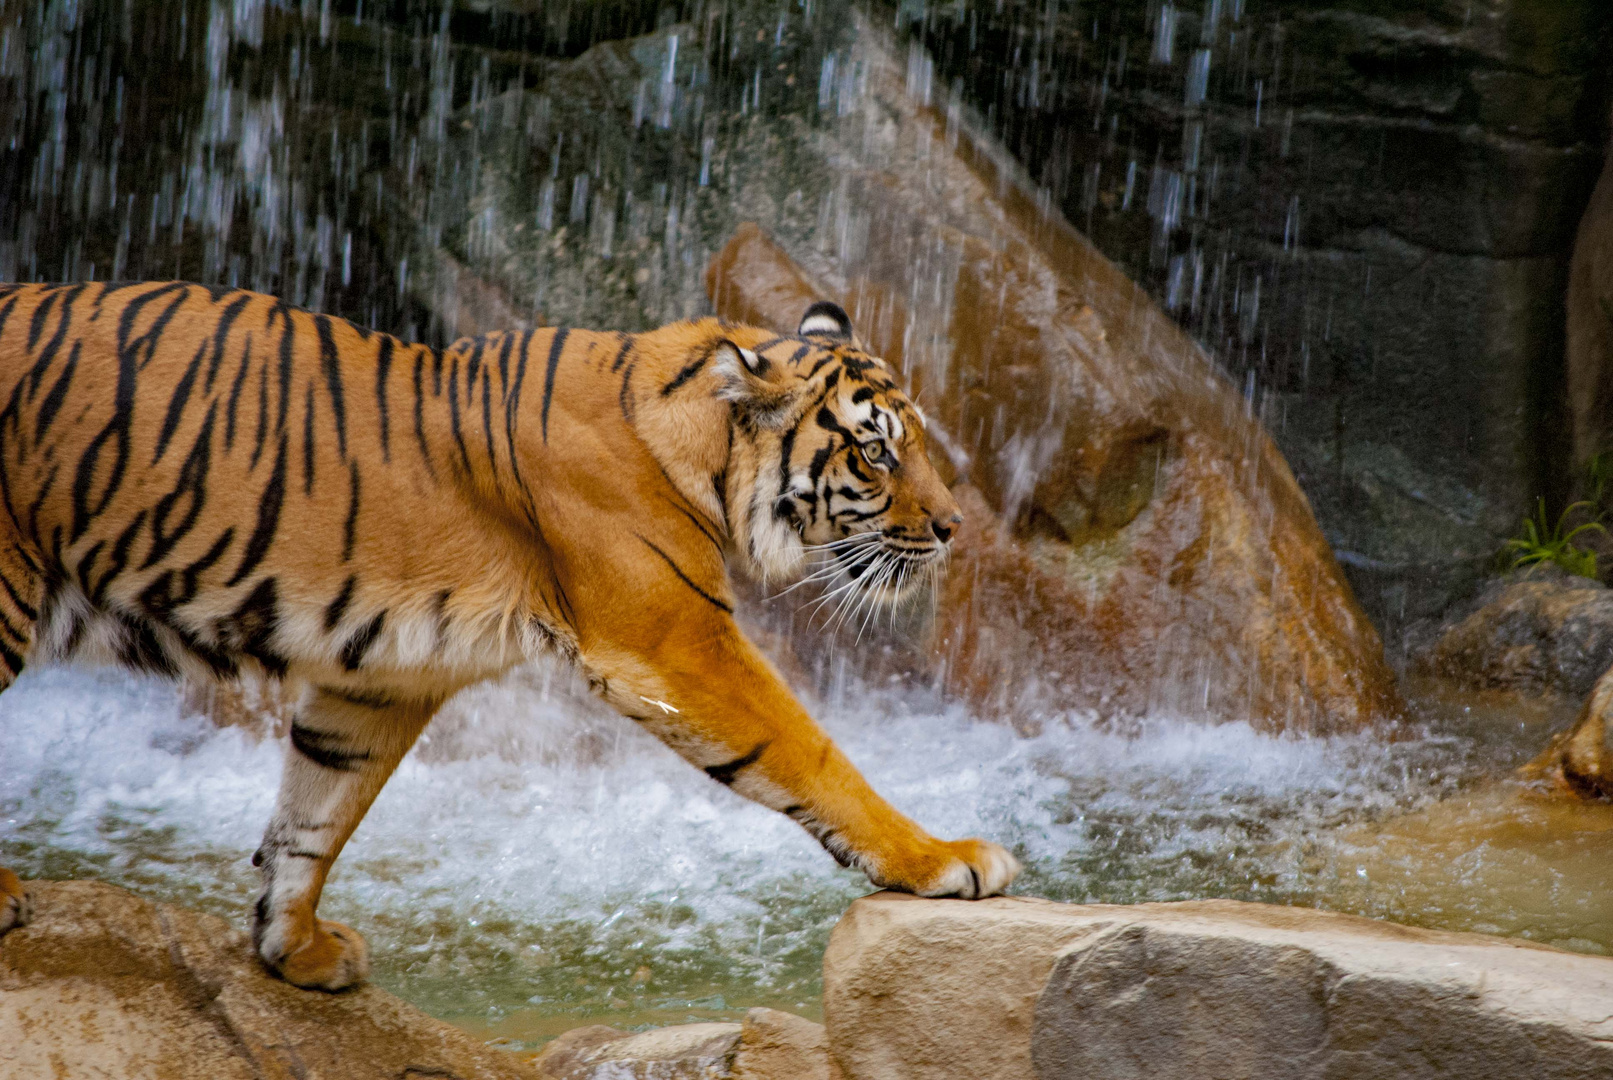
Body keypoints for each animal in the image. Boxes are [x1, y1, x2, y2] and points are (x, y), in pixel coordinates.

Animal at [0, 283, 1012, 992]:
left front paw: (295, 948)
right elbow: (811, 753)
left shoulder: (382, 678)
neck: (698, 443)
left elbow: (314, 814)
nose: (955, 527)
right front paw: (942, 859)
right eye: (875, 453)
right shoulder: (673, 641)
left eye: (917, 442)